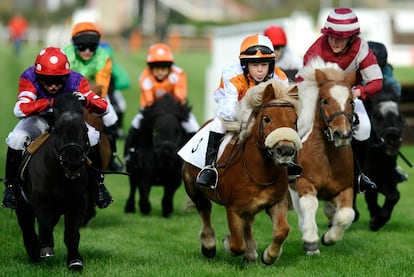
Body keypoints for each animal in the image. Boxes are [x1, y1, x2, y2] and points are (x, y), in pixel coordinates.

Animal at [16, 93, 90, 270]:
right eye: (57, 130)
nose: (72, 162)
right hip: (22, 205)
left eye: (85, 130)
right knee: (27, 228)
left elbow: (72, 233)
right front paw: (45, 248)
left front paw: (75, 261)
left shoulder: (76, 202)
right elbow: (44, 223)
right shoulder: (40, 199)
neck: (60, 177)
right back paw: (34, 252)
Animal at [181, 79, 300, 264]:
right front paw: (227, 242)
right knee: (204, 209)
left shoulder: (276, 202)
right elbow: (237, 245)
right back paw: (209, 245)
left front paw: (269, 256)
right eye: (266, 118)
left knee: (248, 223)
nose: (286, 150)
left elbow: (282, 230)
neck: (258, 173)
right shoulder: (233, 209)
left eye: (295, 120)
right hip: (192, 187)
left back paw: (250, 252)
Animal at [290, 56, 358, 254]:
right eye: (325, 101)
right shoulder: (304, 183)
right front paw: (311, 242)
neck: (327, 156)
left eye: (351, 101)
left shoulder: (345, 188)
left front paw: (329, 238)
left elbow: (346, 215)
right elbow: (309, 205)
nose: (342, 134)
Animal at [354, 82, 406, 231]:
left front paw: (377, 221)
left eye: (400, 118)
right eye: (377, 116)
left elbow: (394, 196)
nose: (393, 138)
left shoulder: (385, 176)